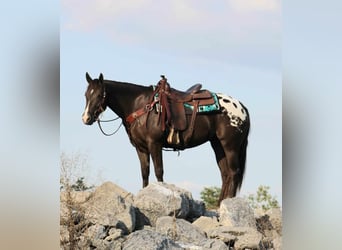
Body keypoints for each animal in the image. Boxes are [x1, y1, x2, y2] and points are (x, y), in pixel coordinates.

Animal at [81, 72, 250, 203]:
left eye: (99, 95)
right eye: (86, 95)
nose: (86, 118)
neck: (140, 105)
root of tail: (242, 107)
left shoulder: (154, 144)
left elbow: (159, 171)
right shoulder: (141, 148)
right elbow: (145, 173)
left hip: (230, 146)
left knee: (234, 172)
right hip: (217, 145)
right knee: (225, 174)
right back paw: (220, 204)